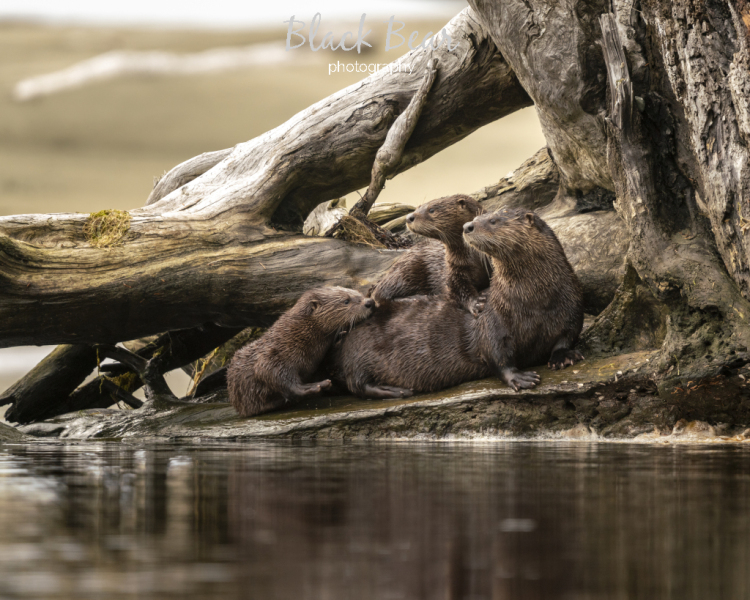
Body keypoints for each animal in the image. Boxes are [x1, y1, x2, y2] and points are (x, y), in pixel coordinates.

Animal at [228, 287, 375, 417]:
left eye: (359, 293)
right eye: (346, 301)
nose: (369, 302)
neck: (295, 335)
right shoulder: (273, 355)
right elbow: (271, 374)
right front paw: (314, 386)